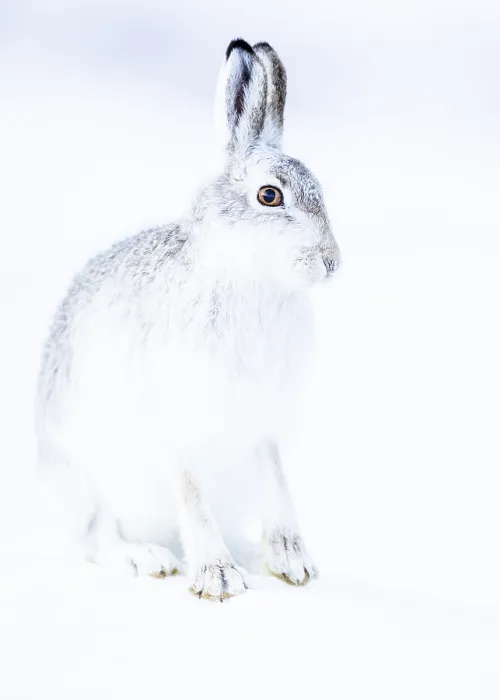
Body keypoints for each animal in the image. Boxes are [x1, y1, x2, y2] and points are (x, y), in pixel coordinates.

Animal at [35, 38, 341, 601]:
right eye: (270, 195)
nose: (332, 262)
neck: (249, 280)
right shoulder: (175, 421)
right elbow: (193, 496)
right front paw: (217, 578)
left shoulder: (262, 424)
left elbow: (278, 482)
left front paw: (293, 562)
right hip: (93, 476)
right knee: (96, 538)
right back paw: (149, 557)